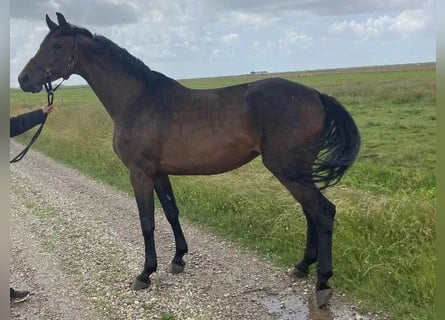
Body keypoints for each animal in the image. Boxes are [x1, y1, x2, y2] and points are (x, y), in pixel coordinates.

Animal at [18, 13, 360, 308]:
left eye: (56, 46)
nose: (23, 79)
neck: (138, 100)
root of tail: (316, 95)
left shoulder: (140, 172)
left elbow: (147, 221)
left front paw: (145, 274)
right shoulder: (159, 173)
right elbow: (171, 212)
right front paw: (178, 258)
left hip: (289, 170)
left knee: (323, 212)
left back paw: (322, 284)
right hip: (297, 172)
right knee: (310, 212)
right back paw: (302, 266)